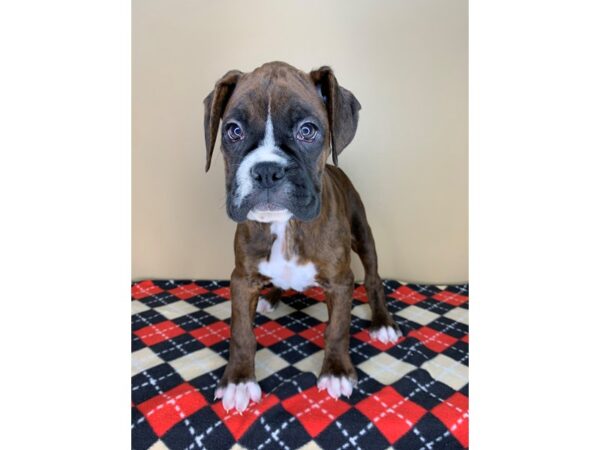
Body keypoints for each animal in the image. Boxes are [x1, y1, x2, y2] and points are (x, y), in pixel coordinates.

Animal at [204, 61, 400, 414]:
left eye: (307, 131)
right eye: (233, 131)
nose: (266, 171)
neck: (286, 225)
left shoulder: (340, 281)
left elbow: (337, 328)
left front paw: (336, 372)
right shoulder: (242, 279)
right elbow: (241, 333)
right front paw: (239, 380)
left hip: (364, 236)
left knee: (374, 279)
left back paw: (382, 322)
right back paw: (271, 296)